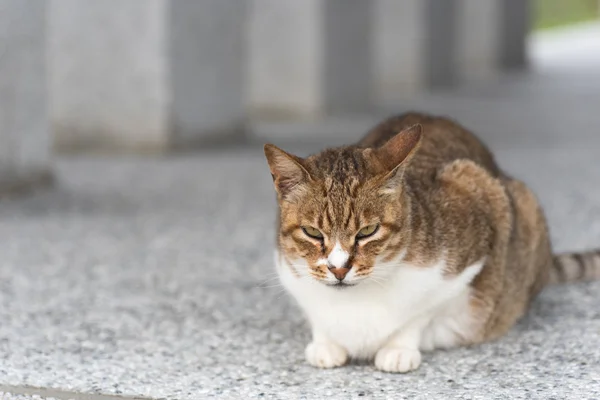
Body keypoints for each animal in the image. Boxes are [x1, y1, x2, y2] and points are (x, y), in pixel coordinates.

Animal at [264, 111, 600, 372]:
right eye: (313, 233)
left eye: (367, 231)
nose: (338, 269)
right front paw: (325, 343)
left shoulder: (481, 217)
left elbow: (421, 311)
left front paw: (399, 348)